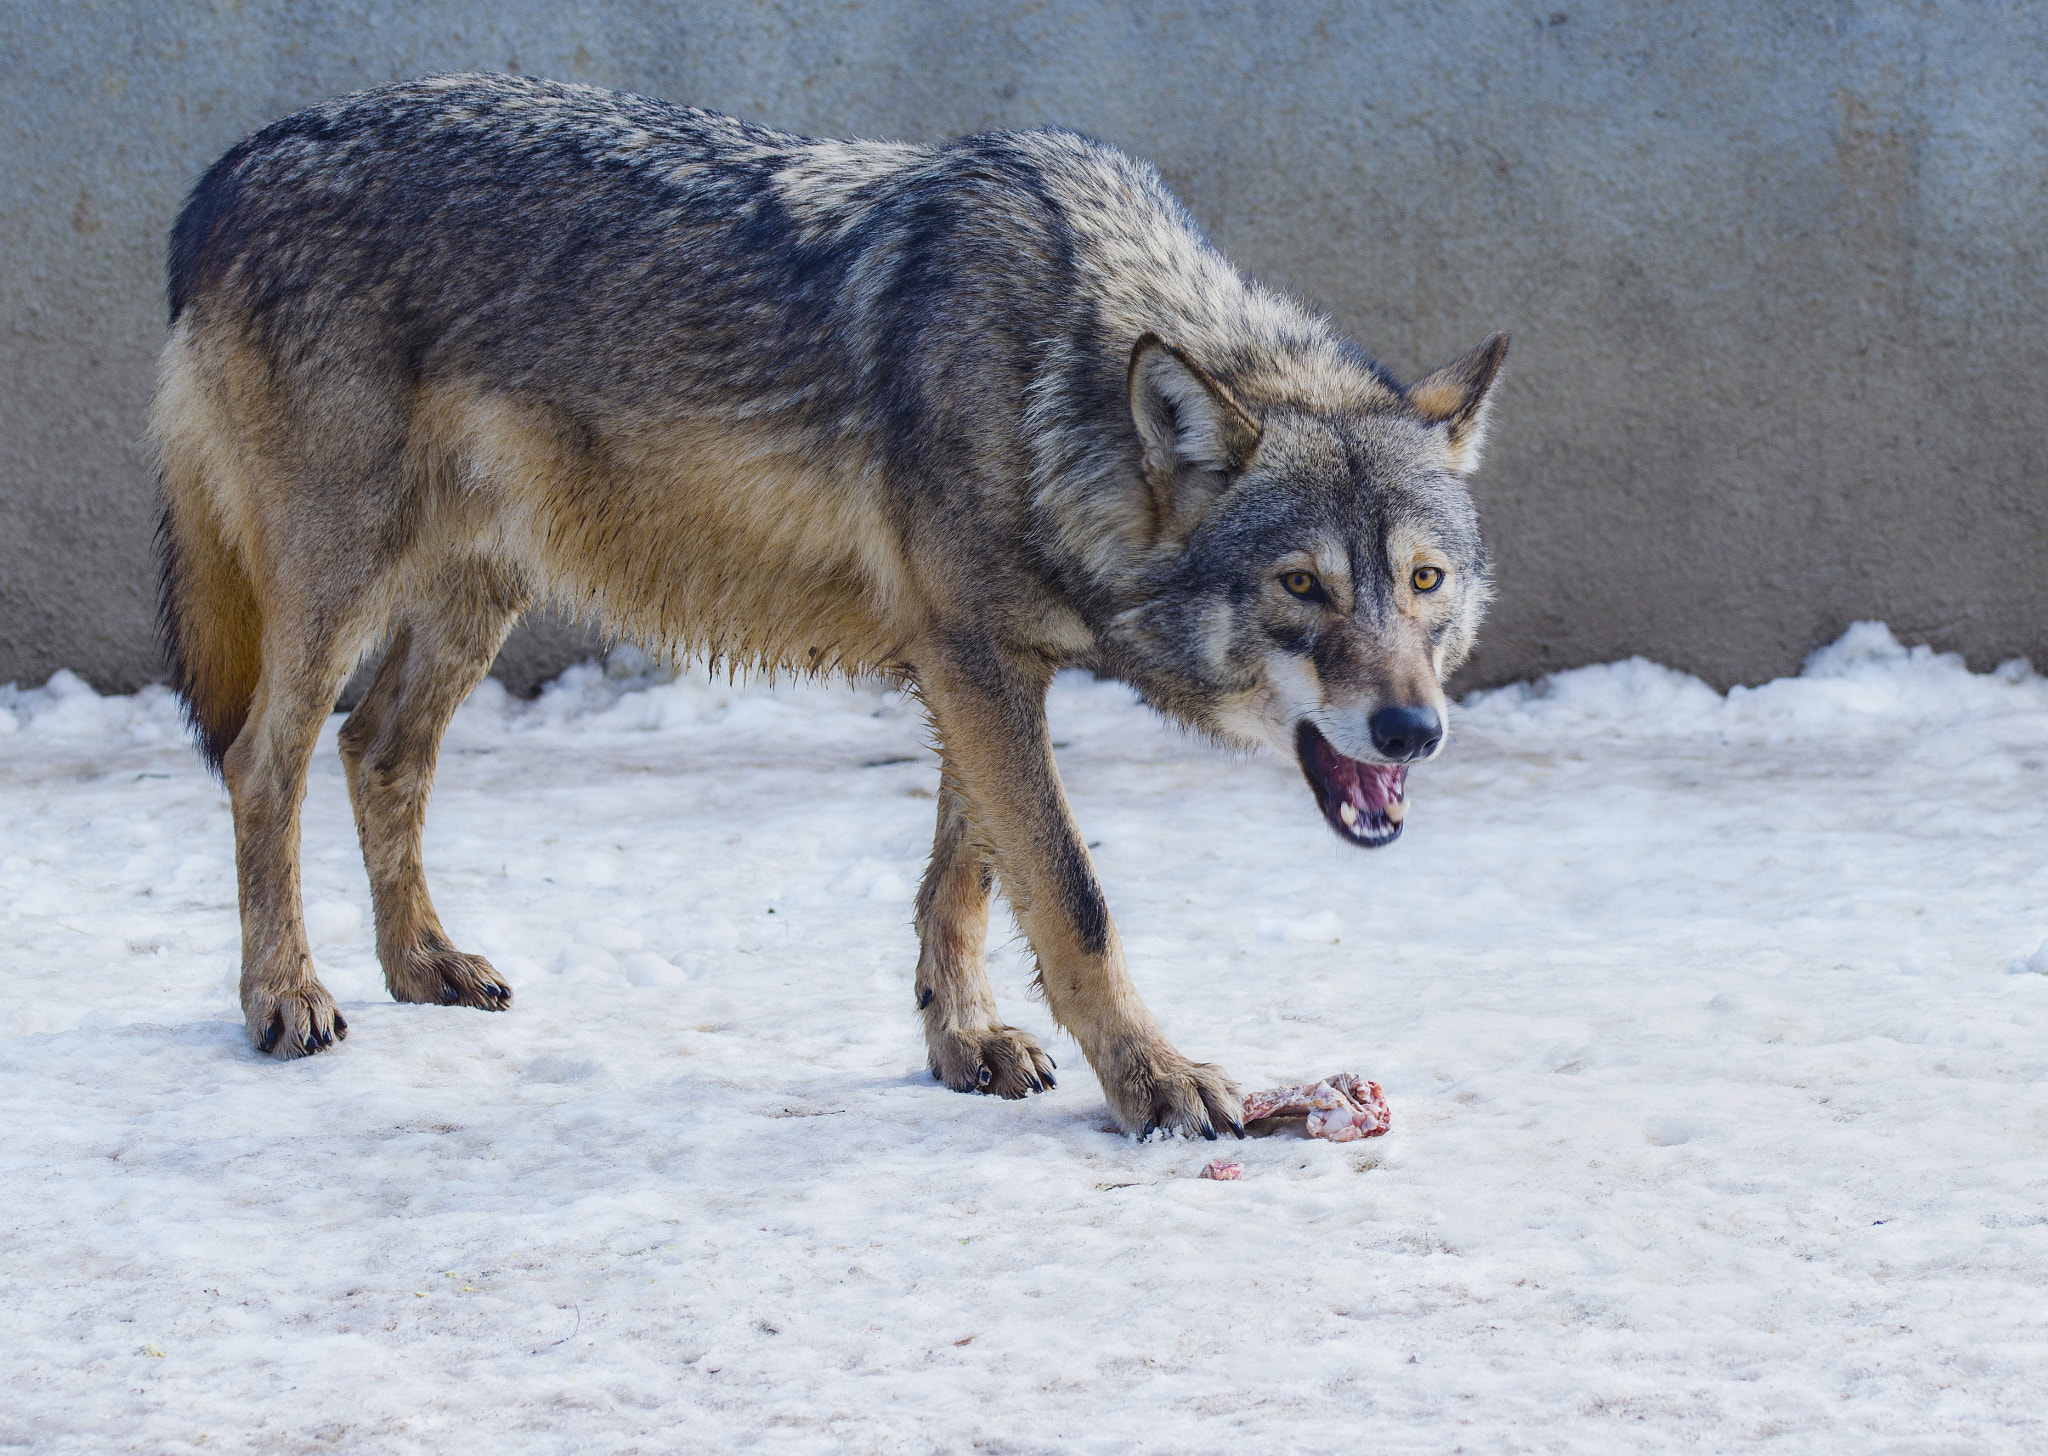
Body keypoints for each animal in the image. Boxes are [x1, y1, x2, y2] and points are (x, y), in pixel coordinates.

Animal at [151, 73, 1505, 1140]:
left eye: (1422, 583)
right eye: (1300, 586)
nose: (1411, 733)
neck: (1052, 377)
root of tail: (229, 165)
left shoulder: (984, 663)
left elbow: (969, 876)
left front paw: (963, 1044)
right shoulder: (971, 660)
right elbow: (1072, 897)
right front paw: (1153, 1082)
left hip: (479, 594)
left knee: (379, 748)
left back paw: (421, 964)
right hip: (340, 591)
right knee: (265, 760)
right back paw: (284, 994)